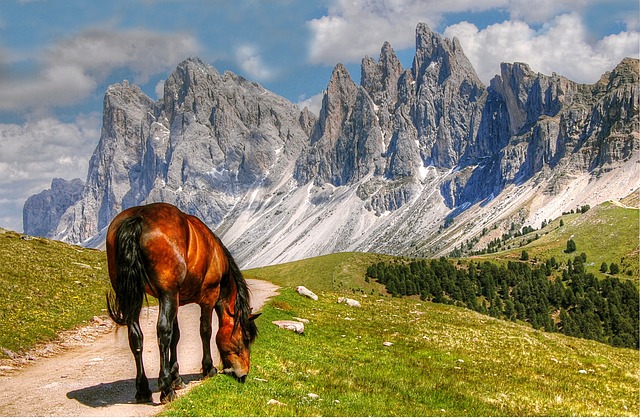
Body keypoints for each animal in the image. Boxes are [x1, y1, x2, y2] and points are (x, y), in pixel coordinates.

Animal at [105, 202, 258, 404]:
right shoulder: (208, 296)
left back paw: (143, 390)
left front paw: (176, 377)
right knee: (162, 332)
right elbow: (205, 331)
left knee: (136, 336)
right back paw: (166, 389)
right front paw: (208, 368)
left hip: (135, 296)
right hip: (167, 293)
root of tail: (138, 217)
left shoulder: (176, 299)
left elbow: (176, 336)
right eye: (246, 338)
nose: (244, 375)